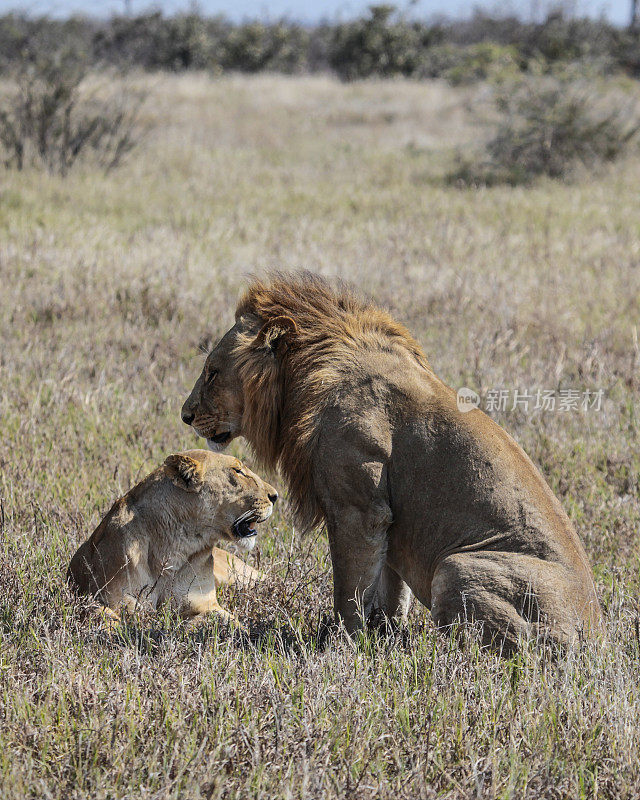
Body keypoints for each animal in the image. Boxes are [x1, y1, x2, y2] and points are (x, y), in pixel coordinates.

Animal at [68, 450, 278, 624]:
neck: (175, 547)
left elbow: (231, 624)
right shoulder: (102, 599)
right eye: (237, 471)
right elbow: (103, 617)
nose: (275, 496)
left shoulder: (205, 603)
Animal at [180, 274, 600, 648]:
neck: (308, 371)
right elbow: (390, 588)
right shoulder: (387, 518)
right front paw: (385, 639)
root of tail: (593, 639)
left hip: (456, 567)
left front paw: (339, 646)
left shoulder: (358, 509)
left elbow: (349, 589)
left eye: (212, 373)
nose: (185, 415)